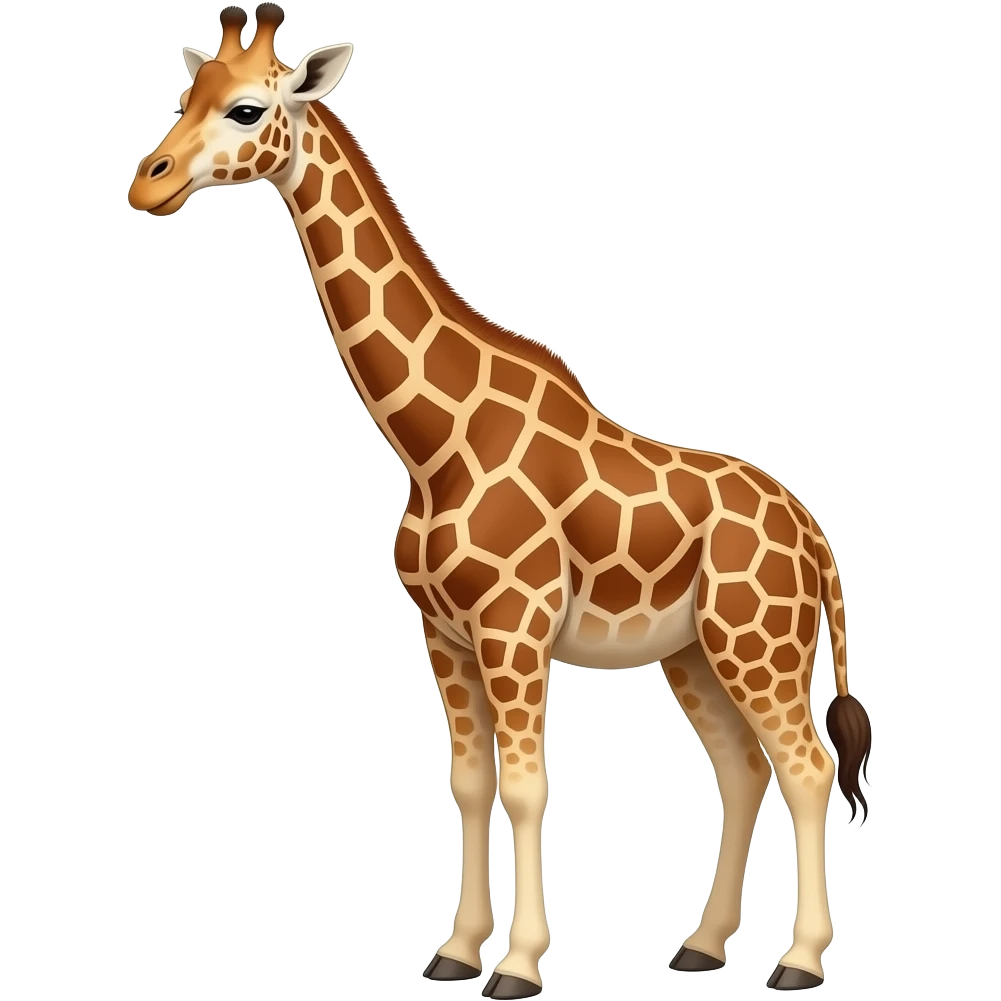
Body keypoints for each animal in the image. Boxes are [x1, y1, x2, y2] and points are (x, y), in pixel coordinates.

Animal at [126, 5, 873, 995]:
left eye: (248, 109)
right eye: (186, 95)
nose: (149, 181)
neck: (431, 443)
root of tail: (814, 534)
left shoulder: (513, 627)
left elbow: (526, 786)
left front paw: (517, 964)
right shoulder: (442, 632)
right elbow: (470, 783)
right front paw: (453, 950)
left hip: (760, 645)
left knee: (808, 764)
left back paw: (799, 958)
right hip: (693, 653)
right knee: (745, 768)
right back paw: (702, 945)